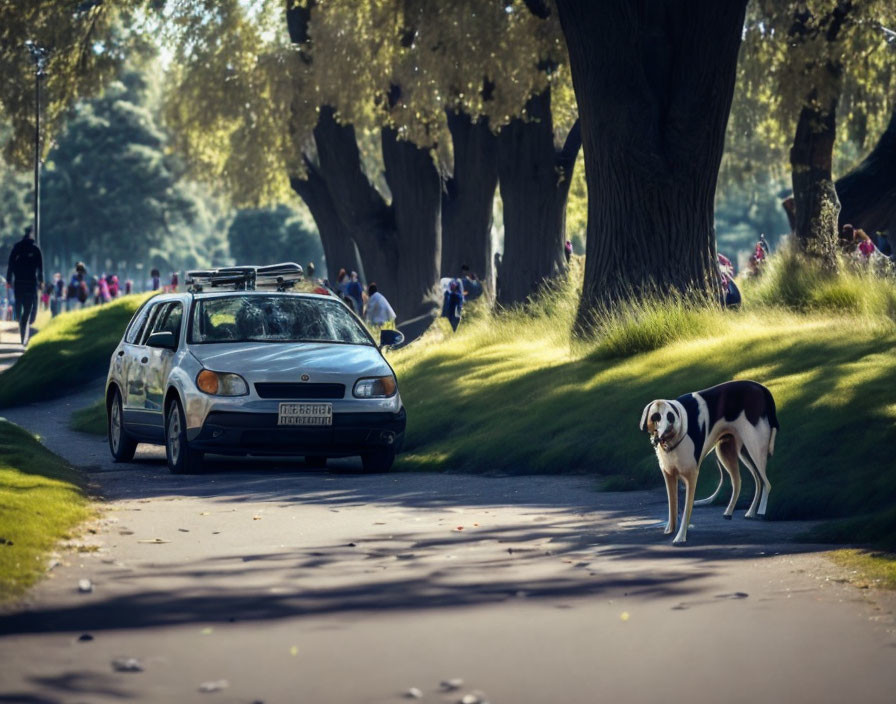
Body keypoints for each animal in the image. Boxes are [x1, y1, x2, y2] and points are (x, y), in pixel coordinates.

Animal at [636, 382, 776, 540]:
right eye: (656, 416)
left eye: (670, 417)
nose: (663, 432)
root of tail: (760, 387)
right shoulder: (669, 475)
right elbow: (673, 506)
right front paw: (670, 531)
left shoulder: (691, 476)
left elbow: (686, 509)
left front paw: (680, 538)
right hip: (732, 453)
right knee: (748, 481)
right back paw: (742, 512)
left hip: (754, 448)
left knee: (766, 482)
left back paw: (761, 512)